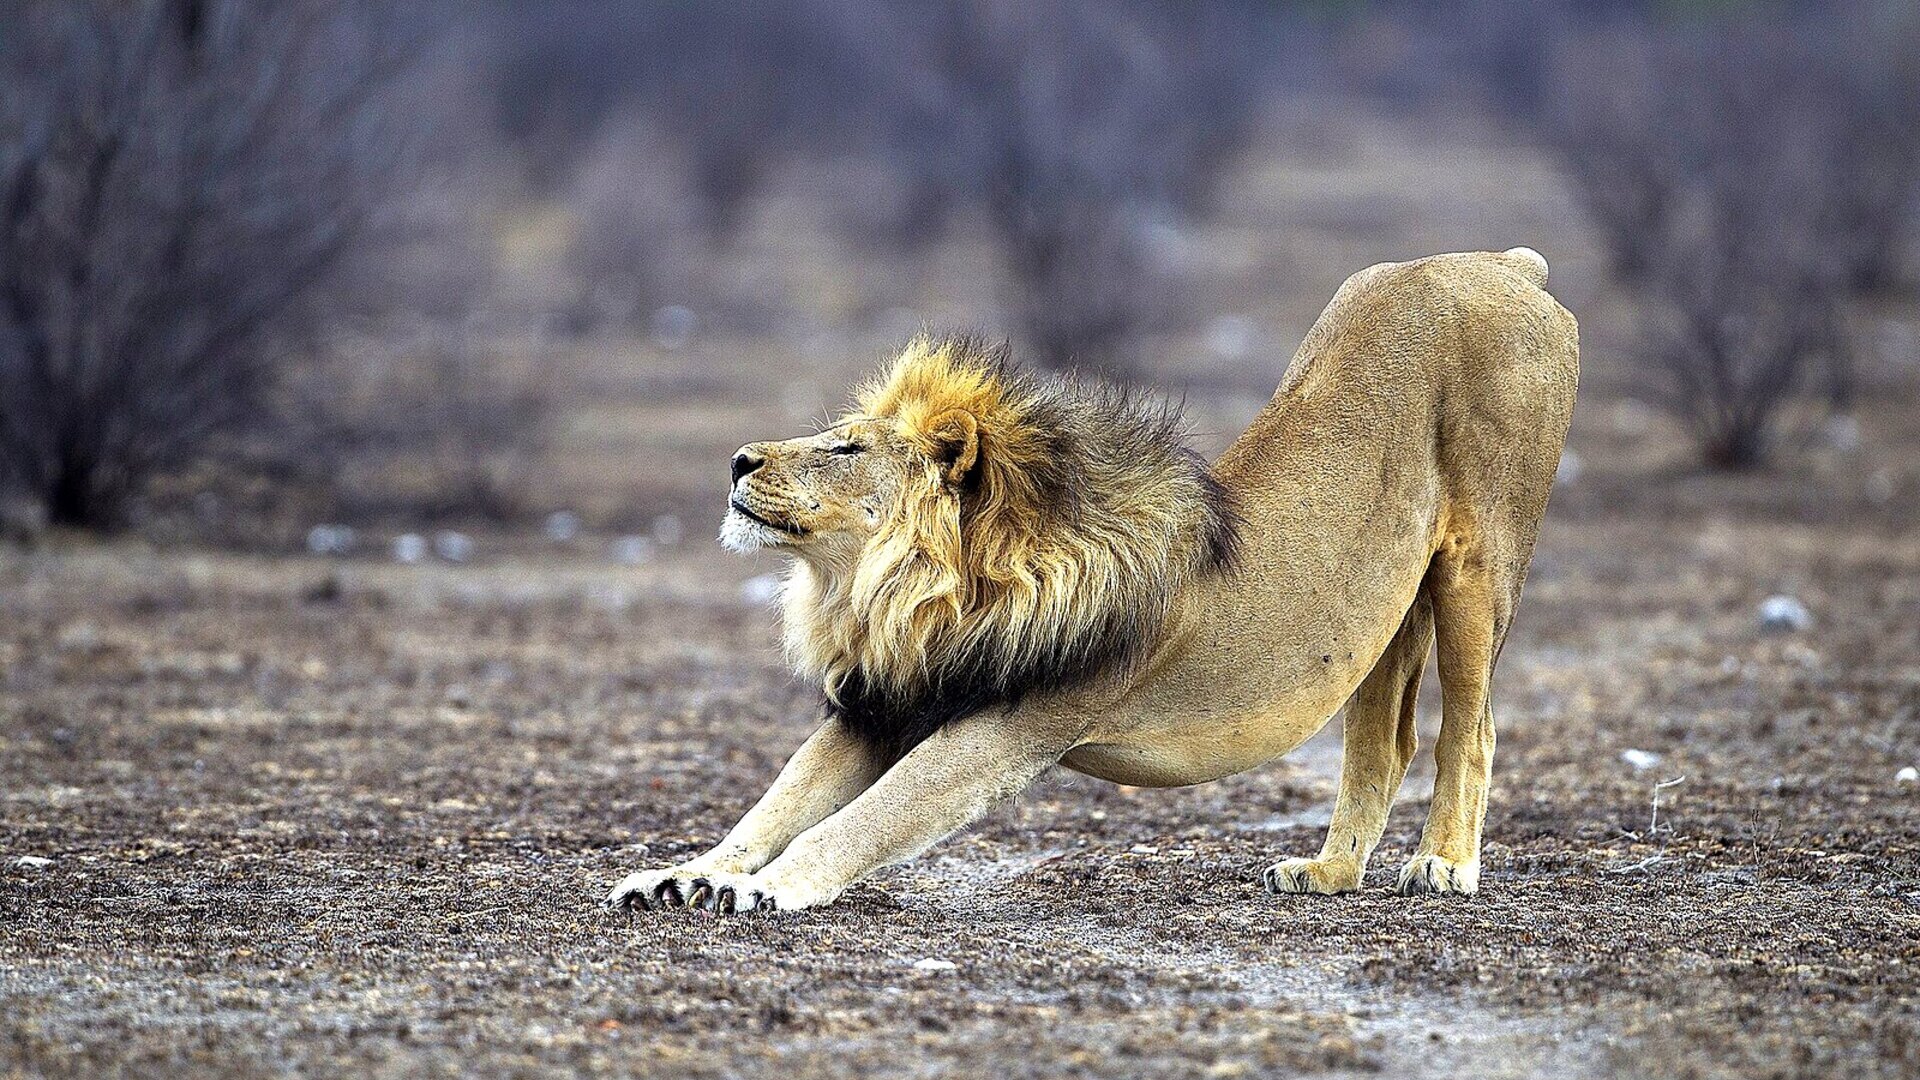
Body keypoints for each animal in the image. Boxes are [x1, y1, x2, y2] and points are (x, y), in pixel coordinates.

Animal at [609, 247, 1577, 913]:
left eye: (846, 448)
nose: (737, 459)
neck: (895, 596)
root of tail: (1504, 262)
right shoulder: (884, 704)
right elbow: (774, 806)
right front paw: (682, 873)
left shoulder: (1010, 728)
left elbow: (865, 818)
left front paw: (766, 889)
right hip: (1384, 607)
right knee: (1384, 741)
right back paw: (1330, 871)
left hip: (1478, 565)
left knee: (1473, 728)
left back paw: (1444, 863)